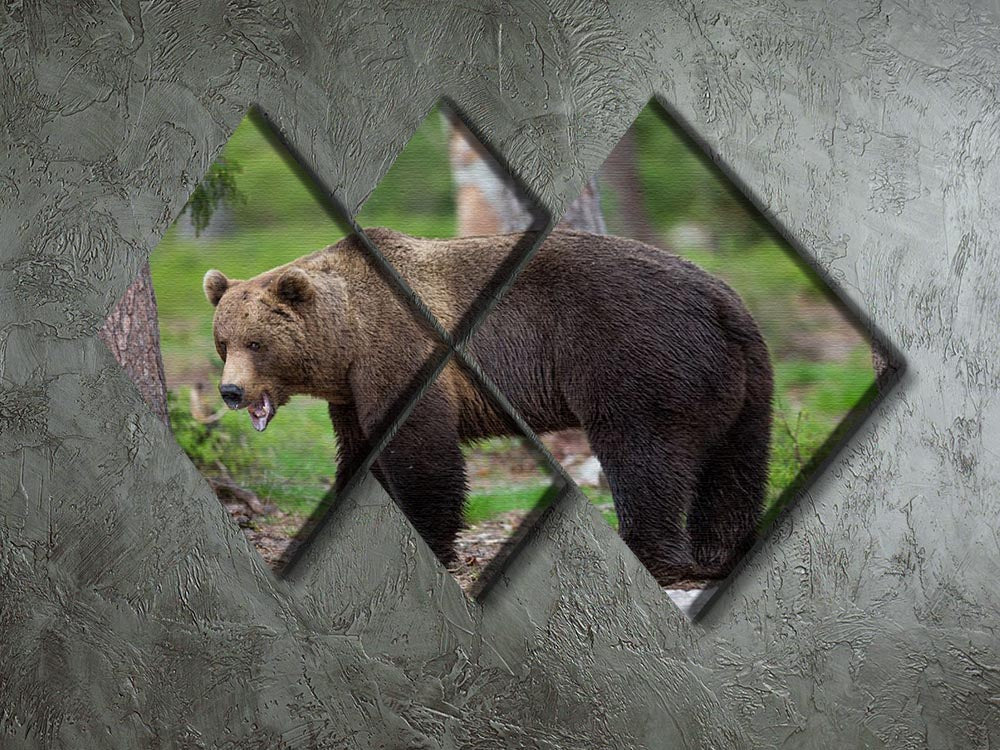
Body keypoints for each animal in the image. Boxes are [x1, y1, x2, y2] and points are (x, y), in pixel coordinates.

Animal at [202, 227, 773, 586]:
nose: (230, 392)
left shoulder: (402, 353)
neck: (348, 341)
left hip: (636, 358)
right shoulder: (352, 393)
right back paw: (718, 553)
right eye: (223, 342)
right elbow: (360, 454)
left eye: (256, 342)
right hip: (742, 383)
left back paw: (653, 555)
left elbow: (423, 453)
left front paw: (434, 541)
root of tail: (724, 299)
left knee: (643, 455)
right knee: (735, 464)